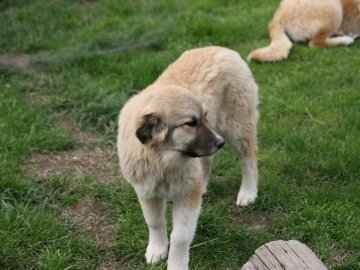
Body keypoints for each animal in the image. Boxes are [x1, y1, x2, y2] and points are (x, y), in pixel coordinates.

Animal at [118, 46, 258, 270]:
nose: (220, 143)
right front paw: (156, 250)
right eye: (191, 123)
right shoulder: (146, 192)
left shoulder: (187, 196)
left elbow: (180, 237)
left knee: (249, 161)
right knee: (207, 162)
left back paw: (248, 192)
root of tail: (223, 49)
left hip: (237, 127)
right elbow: (155, 223)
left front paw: (176, 264)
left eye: (204, 117)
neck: (163, 160)